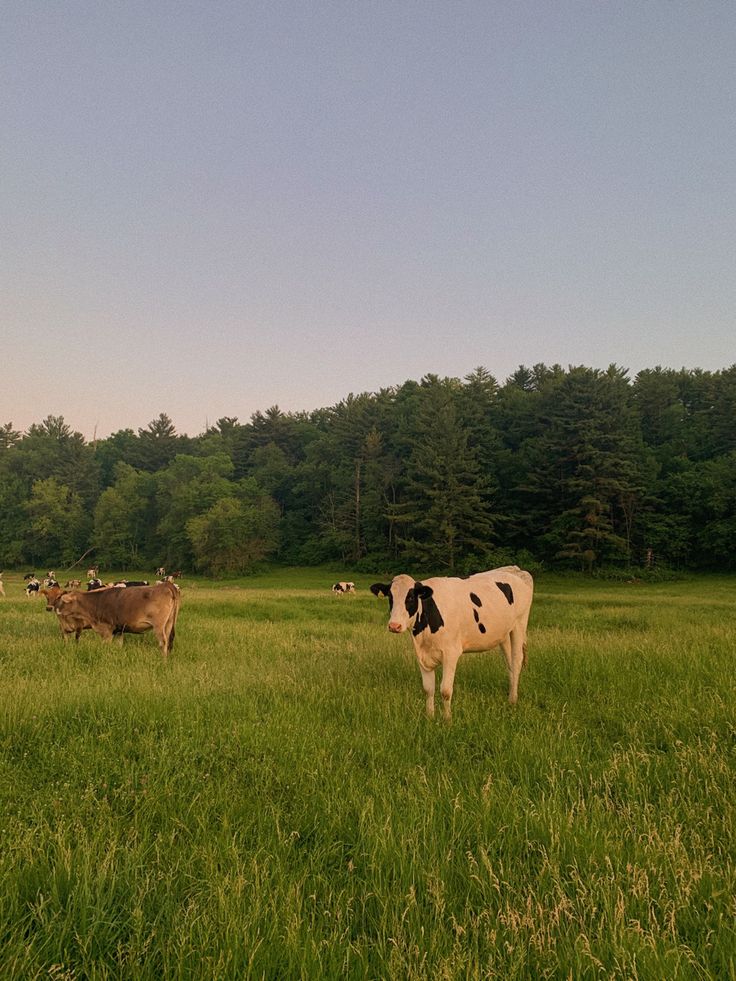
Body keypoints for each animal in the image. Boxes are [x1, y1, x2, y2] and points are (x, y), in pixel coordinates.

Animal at [50, 580, 181, 660]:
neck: (96, 603)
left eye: (63, 601)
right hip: (169, 624)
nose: (55, 609)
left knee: (163, 642)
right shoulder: (119, 630)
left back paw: (162, 661)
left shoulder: (107, 630)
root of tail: (166, 585)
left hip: (159, 626)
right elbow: (119, 646)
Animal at [370, 568, 532, 720]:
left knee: (517, 661)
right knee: (510, 663)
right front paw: (430, 717)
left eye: (410, 597)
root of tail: (515, 570)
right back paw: (510, 695)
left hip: (519, 624)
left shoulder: (451, 653)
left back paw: (513, 701)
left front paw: (447, 720)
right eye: (390, 597)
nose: (394, 626)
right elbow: (428, 689)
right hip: (504, 634)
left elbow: (445, 690)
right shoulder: (422, 655)